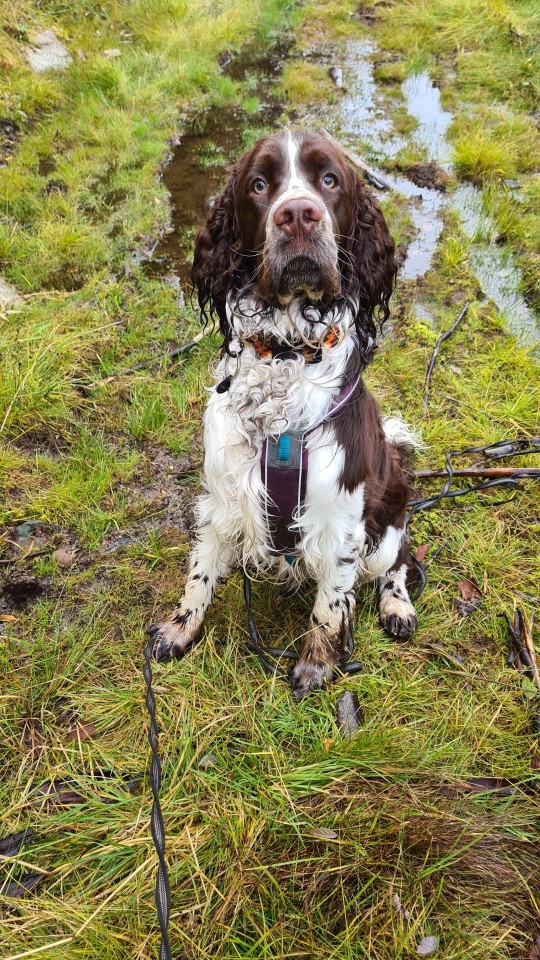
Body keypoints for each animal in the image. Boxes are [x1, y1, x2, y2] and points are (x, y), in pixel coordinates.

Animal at [150, 127, 420, 696]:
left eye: (329, 180)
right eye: (258, 185)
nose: (297, 214)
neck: (287, 352)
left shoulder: (341, 517)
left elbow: (330, 605)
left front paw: (316, 664)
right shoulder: (223, 494)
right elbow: (199, 571)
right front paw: (180, 629)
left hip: (389, 515)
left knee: (401, 558)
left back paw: (397, 605)